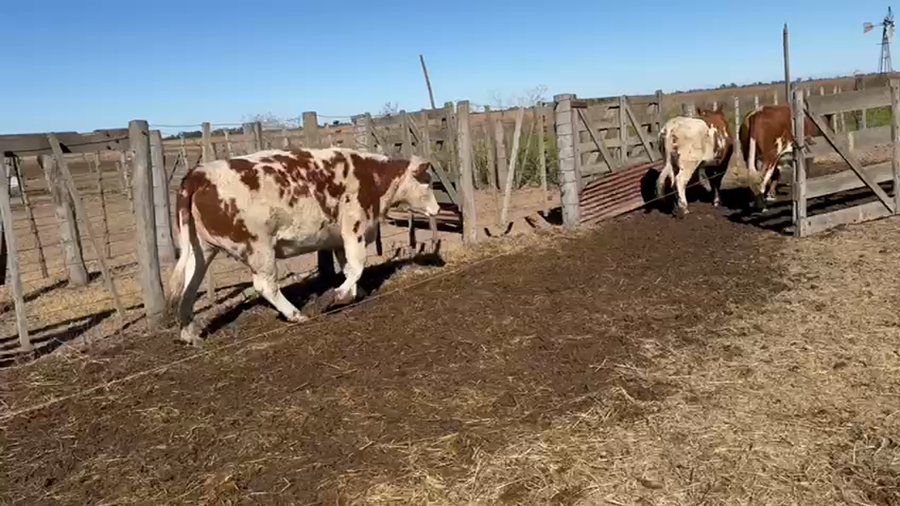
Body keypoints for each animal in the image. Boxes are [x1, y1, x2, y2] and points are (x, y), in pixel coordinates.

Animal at [165, 147, 441, 346]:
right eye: (427, 182)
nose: (438, 208)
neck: (372, 177)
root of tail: (198, 174)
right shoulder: (354, 229)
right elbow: (357, 266)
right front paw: (335, 296)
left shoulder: (339, 238)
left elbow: (349, 269)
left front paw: (355, 292)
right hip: (259, 248)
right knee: (265, 286)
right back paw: (296, 314)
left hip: (201, 250)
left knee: (188, 288)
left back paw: (189, 335)